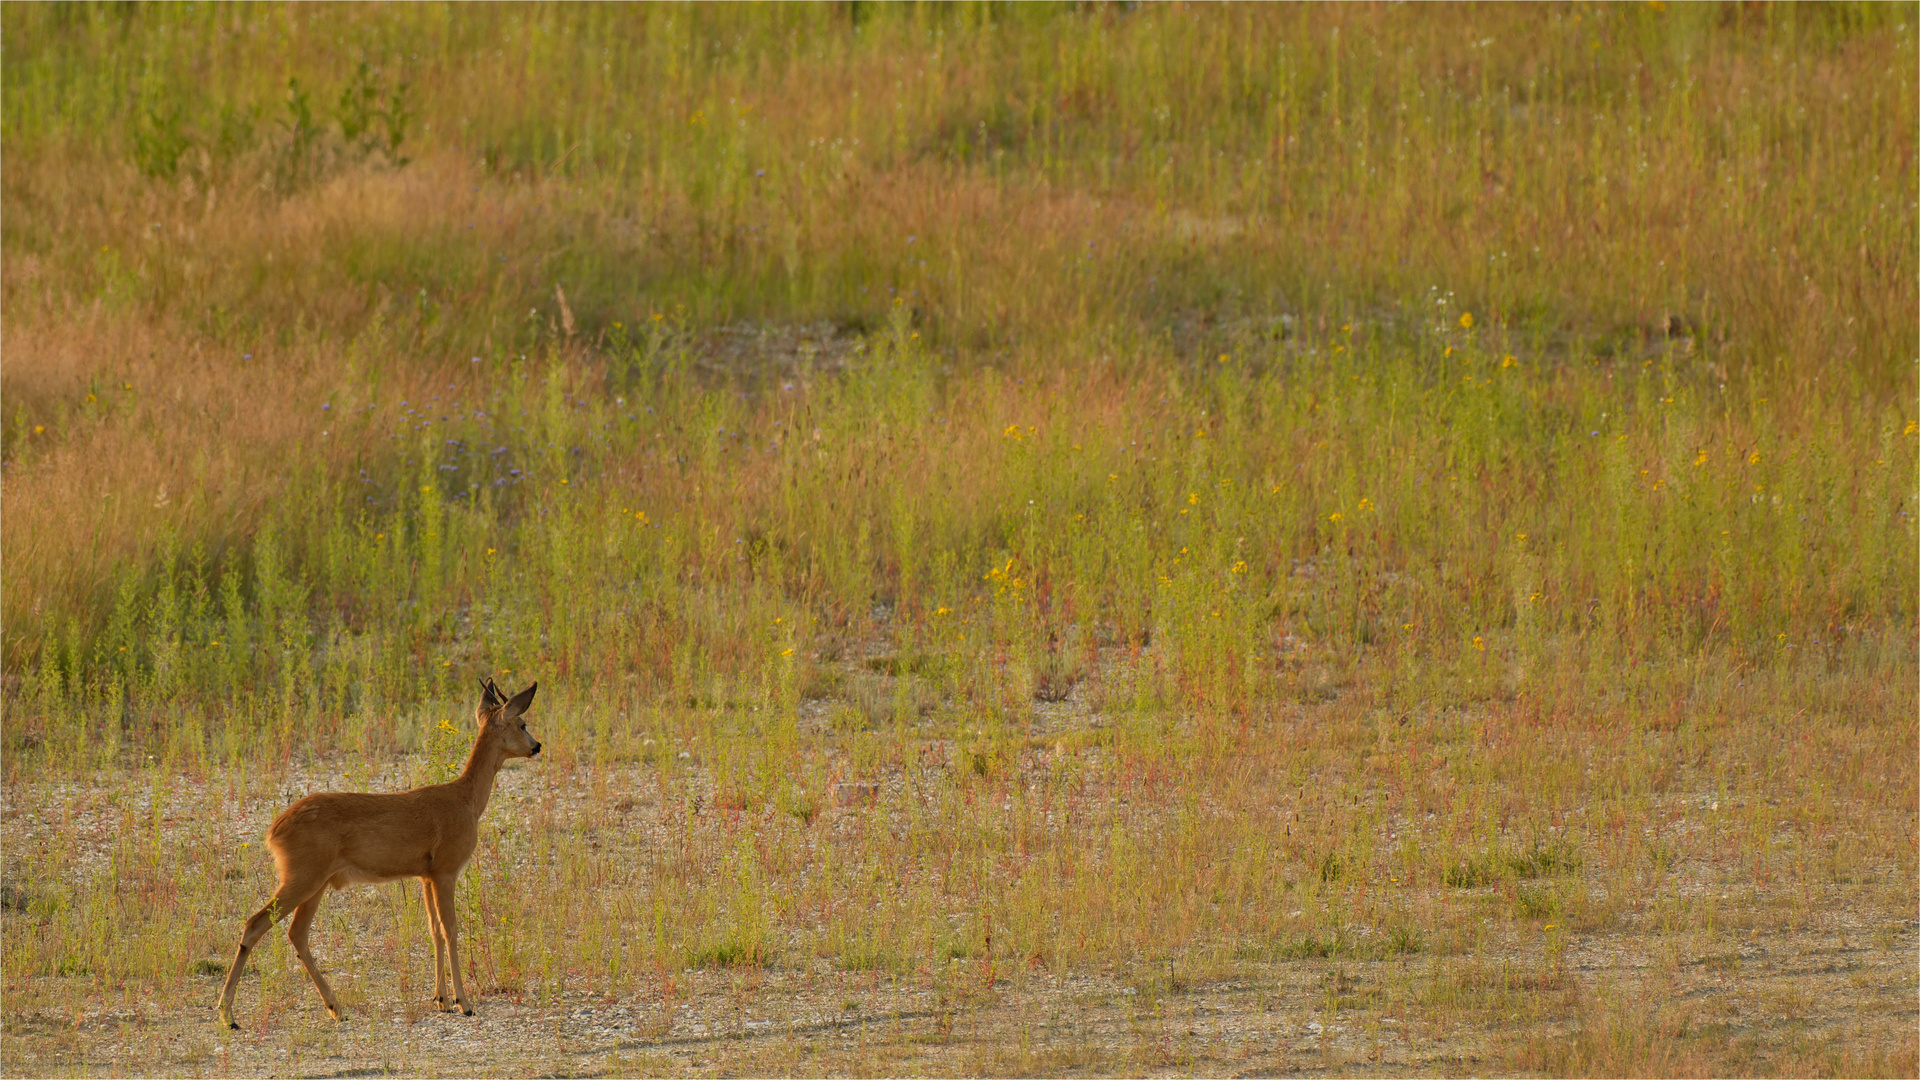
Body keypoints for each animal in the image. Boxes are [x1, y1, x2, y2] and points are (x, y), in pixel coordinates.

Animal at [216, 672, 541, 1022]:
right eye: (522, 723)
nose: (537, 746)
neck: (466, 801)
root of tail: (273, 830)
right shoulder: (446, 869)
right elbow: (451, 929)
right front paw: (464, 1002)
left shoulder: (425, 874)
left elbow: (433, 929)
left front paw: (440, 999)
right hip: (302, 875)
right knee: (255, 923)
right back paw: (227, 1014)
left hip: (316, 881)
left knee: (296, 933)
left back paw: (336, 1008)